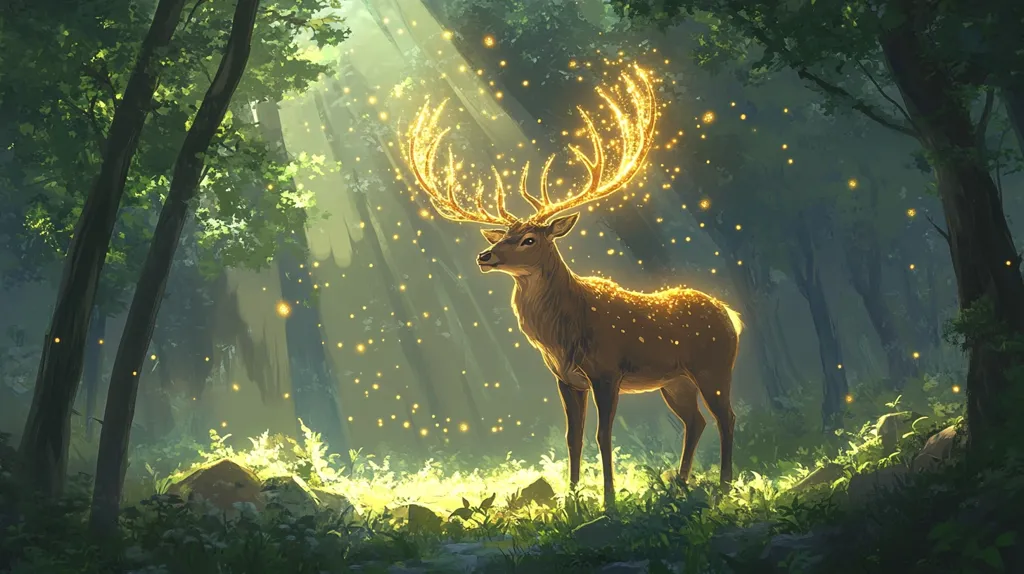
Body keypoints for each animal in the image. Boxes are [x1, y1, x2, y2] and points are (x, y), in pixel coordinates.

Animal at [401, 66, 741, 509]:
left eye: (530, 239)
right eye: (504, 234)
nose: (484, 256)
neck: (564, 334)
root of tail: (732, 315)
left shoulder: (608, 370)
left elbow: (603, 435)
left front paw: (609, 500)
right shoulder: (565, 378)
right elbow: (572, 437)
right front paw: (574, 497)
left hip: (714, 366)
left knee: (726, 417)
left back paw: (724, 486)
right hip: (675, 381)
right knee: (696, 421)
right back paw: (681, 484)